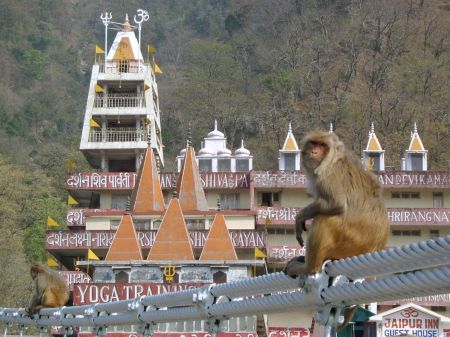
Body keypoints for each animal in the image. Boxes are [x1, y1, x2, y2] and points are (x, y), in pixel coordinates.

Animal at [286, 130, 388, 274]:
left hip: (350, 243)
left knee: (324, 218)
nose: (314, 152)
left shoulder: (328, 173)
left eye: (322, 145)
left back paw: (307, 268)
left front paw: (300, 217)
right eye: (313, 143)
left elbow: (336, 203)